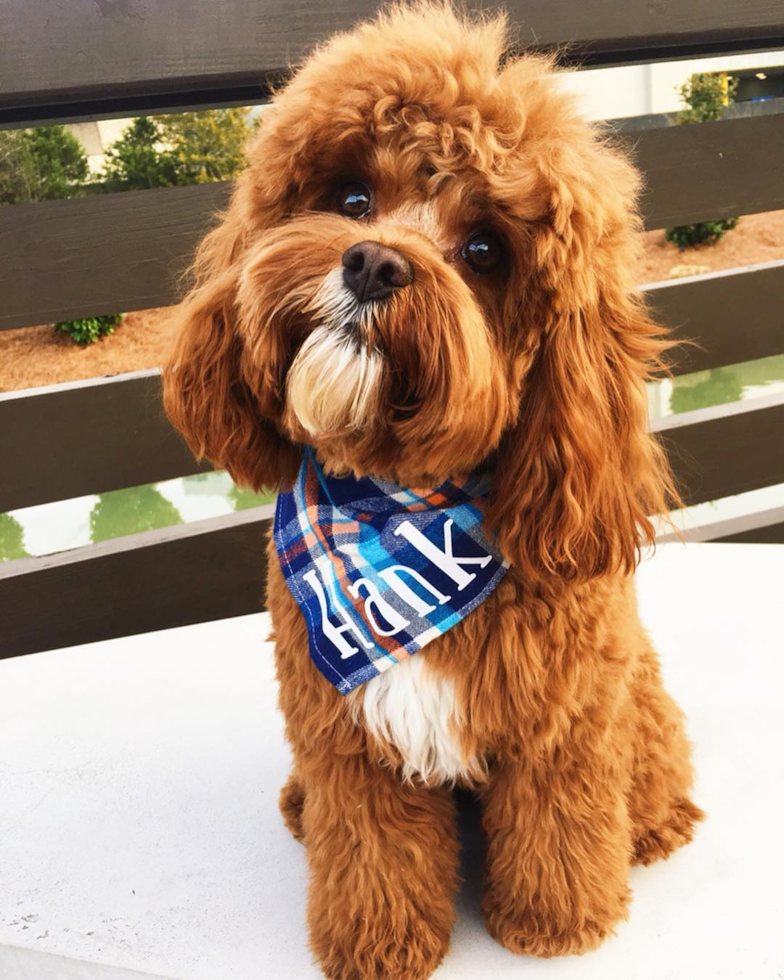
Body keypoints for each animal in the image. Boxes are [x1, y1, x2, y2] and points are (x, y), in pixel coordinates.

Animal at [162, 3, 700, 976]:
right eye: (350, 200)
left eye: (485, 250)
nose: (374, 263)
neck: (396, 507)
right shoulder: (347, 741)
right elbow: (372, 849)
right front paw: (377, 945)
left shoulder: (561, 724)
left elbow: (559, 824)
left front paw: (556, 923)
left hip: (637, 698)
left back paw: (654, 825)